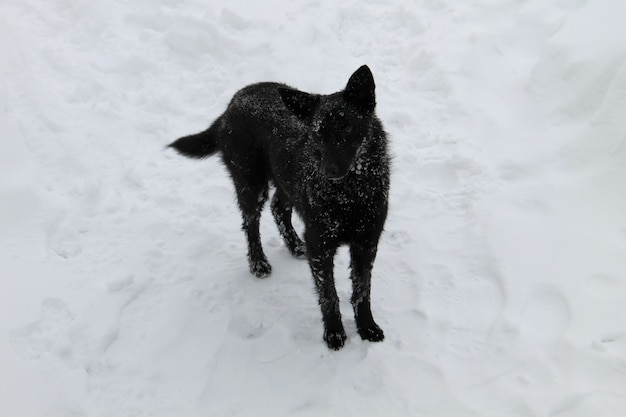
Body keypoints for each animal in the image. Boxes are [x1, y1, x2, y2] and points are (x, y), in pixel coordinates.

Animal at [168, 66, 388, 352]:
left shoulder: (367, 242)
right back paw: (258, 263)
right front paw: (334, 333)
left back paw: (294, 246)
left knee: (278, 208)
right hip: (250, 184)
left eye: (347, 127)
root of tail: (232, 103)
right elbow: (329, 294)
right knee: (251, 223)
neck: (350, 194)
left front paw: (367, 327)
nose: (328, 171)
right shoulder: (320, 244)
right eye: (318, 134)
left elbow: (362, 291)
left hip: (285, 182)